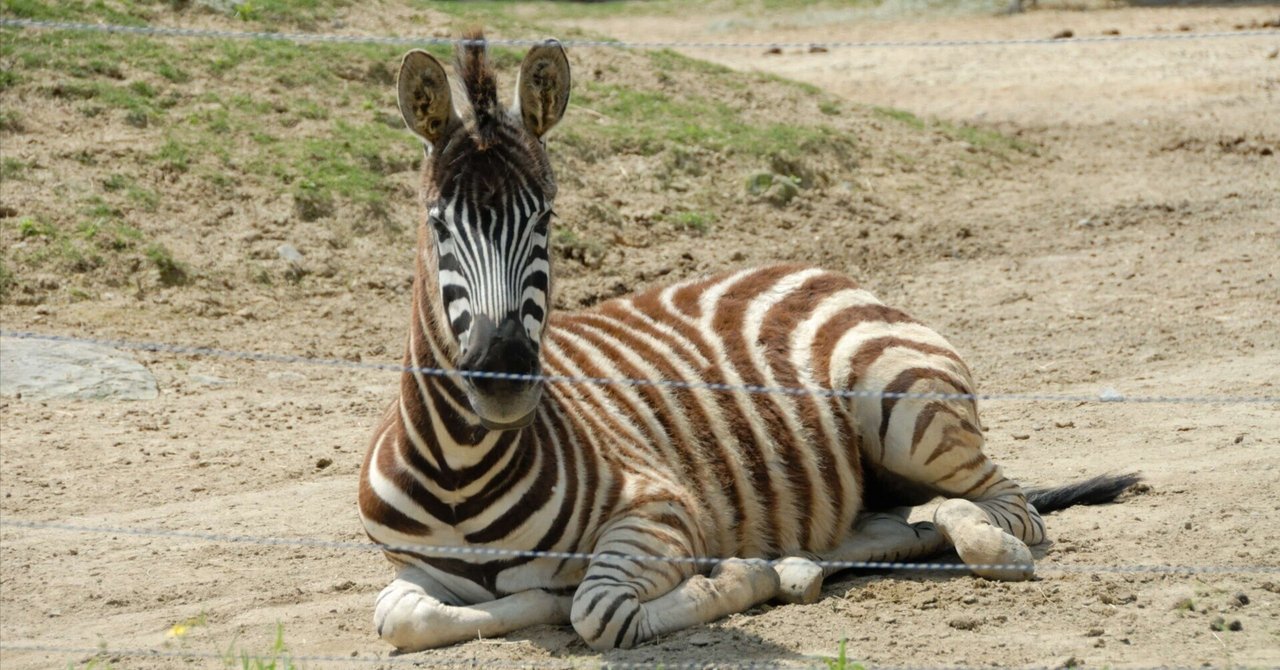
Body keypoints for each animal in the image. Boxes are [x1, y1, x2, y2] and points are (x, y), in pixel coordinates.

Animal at [358, 32, 1139, 652]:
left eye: (545, 217)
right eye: (437, 222)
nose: (503, 376)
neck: (462, 473)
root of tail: (821, 268)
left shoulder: (662, 512)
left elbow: (598, 610)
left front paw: (729, 575)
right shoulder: (410, 573)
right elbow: (403, 618)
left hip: (906, 410)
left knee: (1002, 509)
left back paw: (967, 540)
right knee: (895, 525)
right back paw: (805, 562)